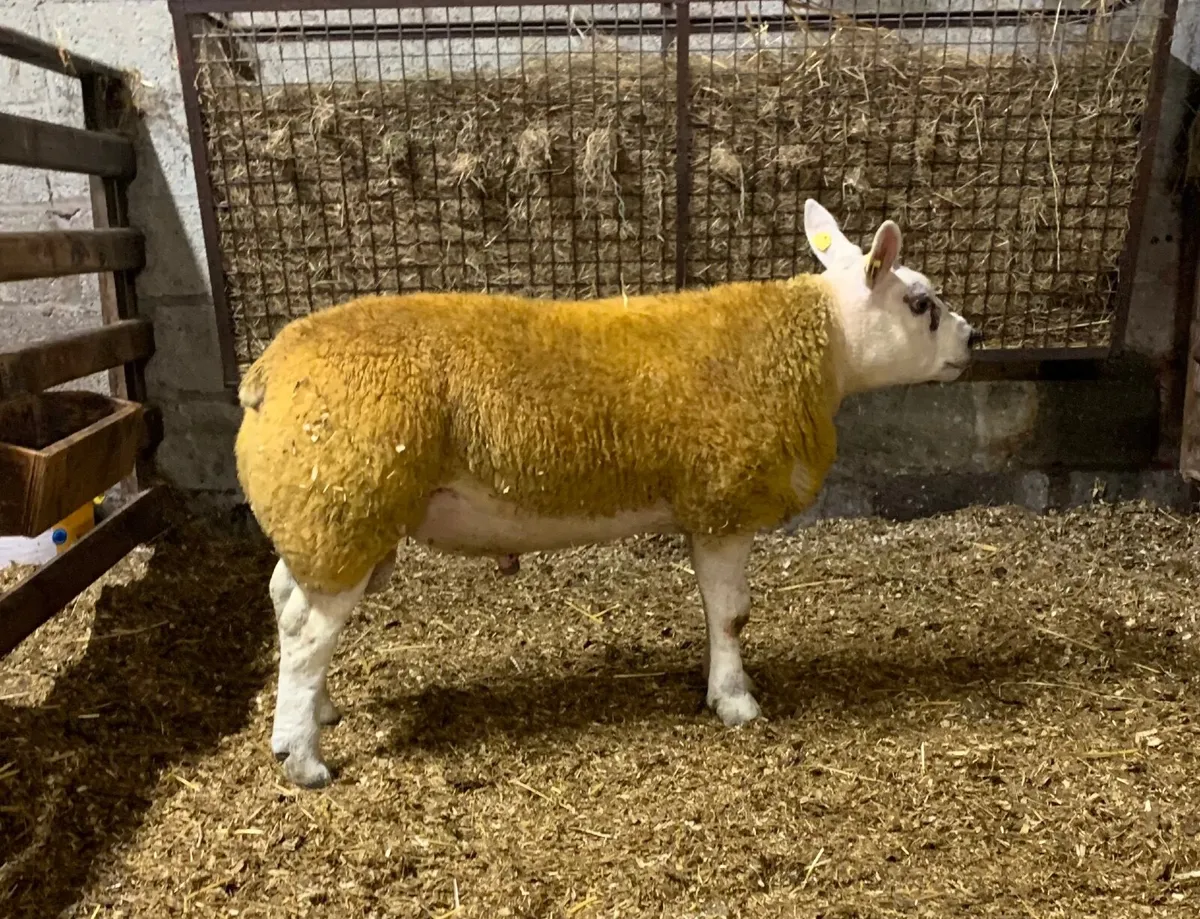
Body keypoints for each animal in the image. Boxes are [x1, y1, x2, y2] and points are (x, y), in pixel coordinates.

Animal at [237, 199, 982, 788]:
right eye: (922, 304)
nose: (974, 339)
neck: (825, 348)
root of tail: (266, 371)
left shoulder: (703, 508)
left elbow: (717, 611)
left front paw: (720, 685)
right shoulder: (724, 503)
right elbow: (733, 614)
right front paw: (736, 702)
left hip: (323, 518)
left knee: (285, 600)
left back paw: (320, 709)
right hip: (344, 506)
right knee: (306, 630)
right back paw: (301, 756)